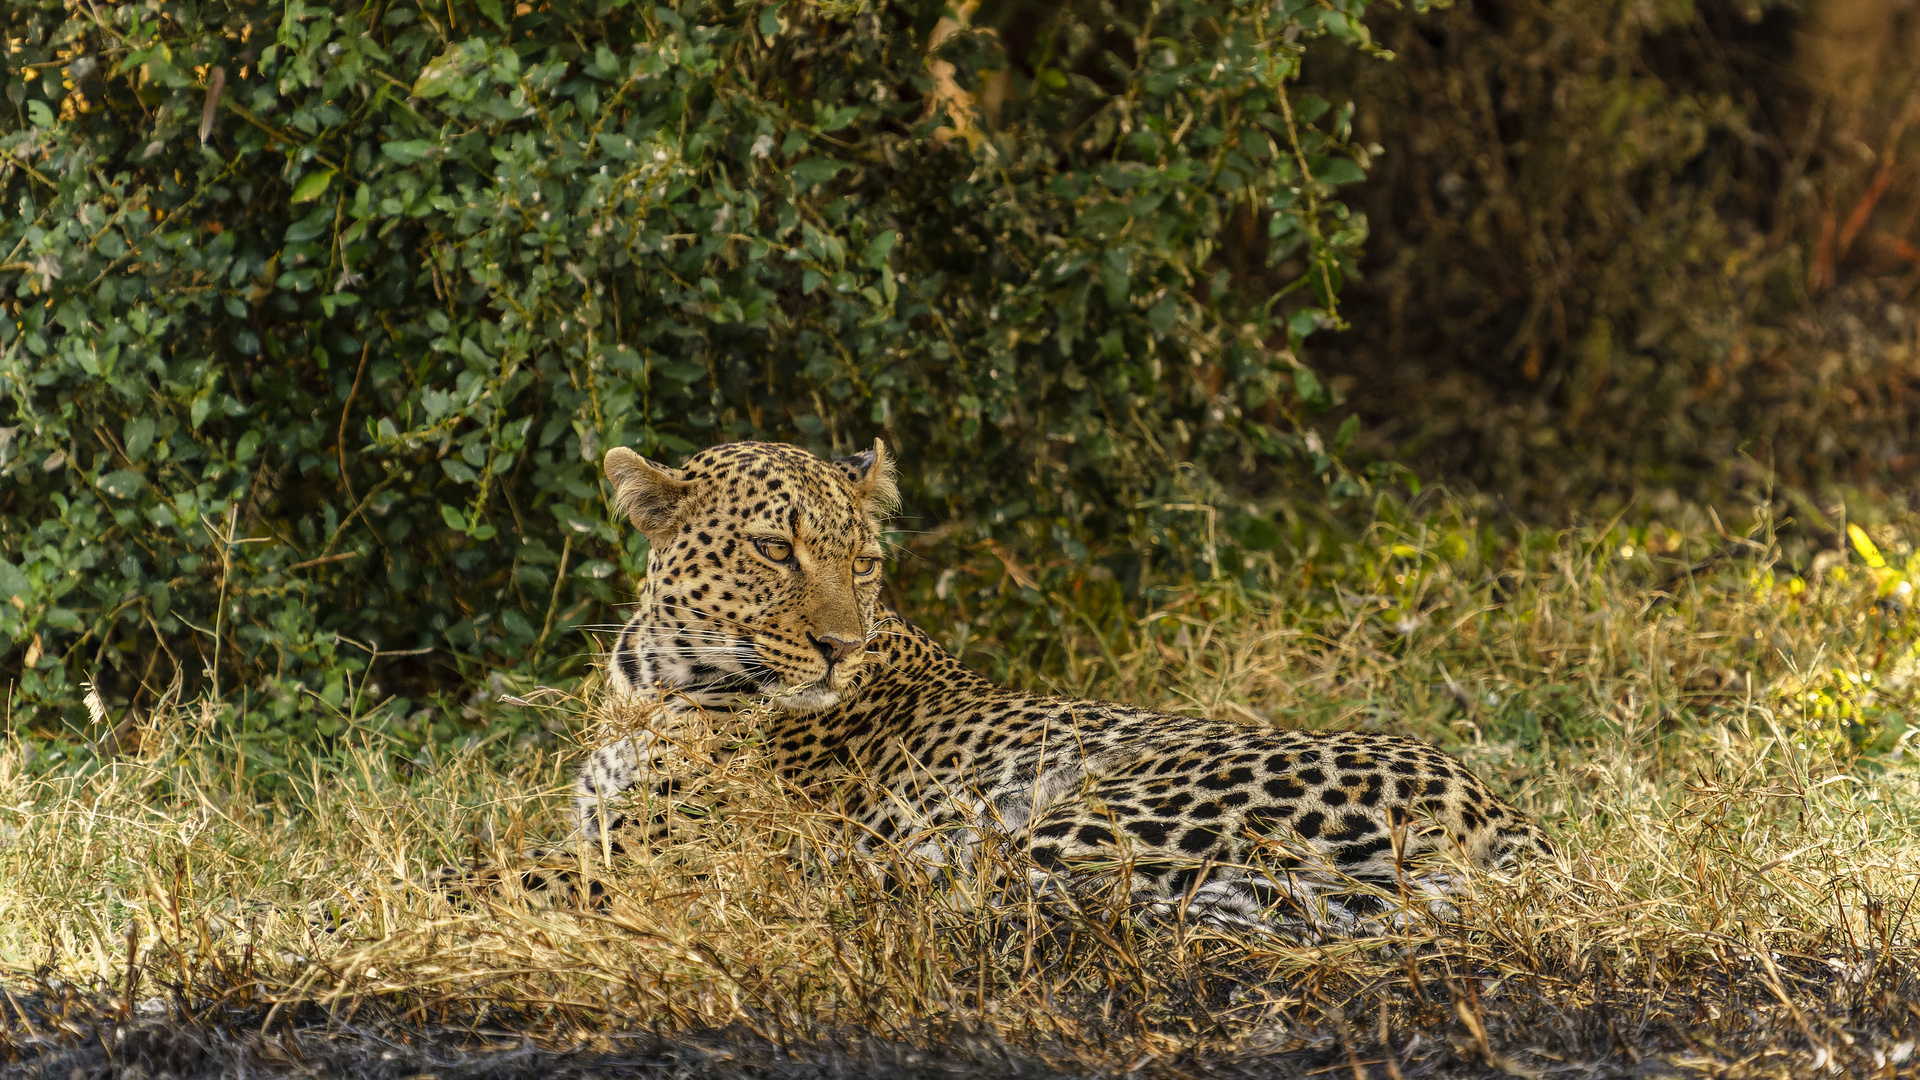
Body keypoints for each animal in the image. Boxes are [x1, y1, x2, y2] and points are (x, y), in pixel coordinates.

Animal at [564, 438, 1543, 933]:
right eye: (774, 549)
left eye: (864, 562)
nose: (841, 646)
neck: (655, 676)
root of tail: (1495, 805)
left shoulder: (649, 847)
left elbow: (540, 879)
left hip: (1075, 822)